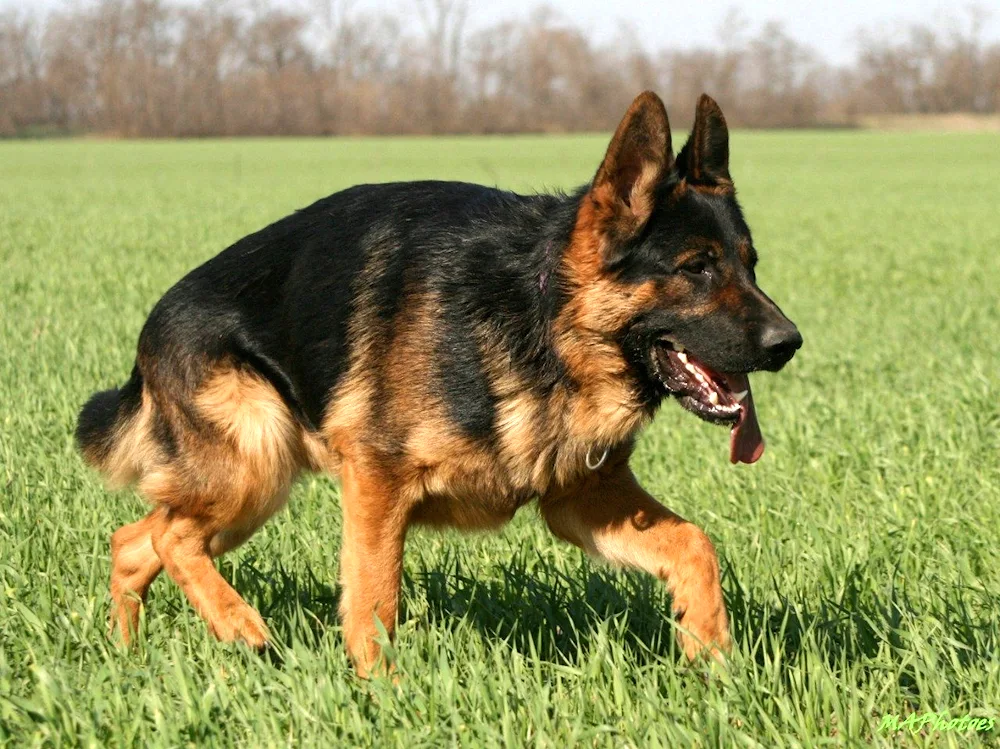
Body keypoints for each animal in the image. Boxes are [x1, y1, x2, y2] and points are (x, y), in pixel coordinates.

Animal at [74, 92, 800, 672]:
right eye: (697, 267)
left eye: (751, 264)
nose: (789, 343)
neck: (541, 314)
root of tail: (151, 328)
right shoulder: (377, 483)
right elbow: (374, 603)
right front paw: (382, 697)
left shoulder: (584, 500)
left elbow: (696, 545)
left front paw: (712, 657)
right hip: (255, 462)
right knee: (170, 537)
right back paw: (239, 625)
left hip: (244, 487)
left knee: (135, 541)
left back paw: (126, 656)